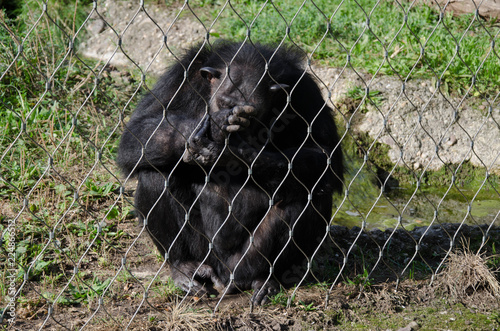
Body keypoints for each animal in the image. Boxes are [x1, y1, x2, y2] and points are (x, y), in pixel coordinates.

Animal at [117, 40, 344, 306]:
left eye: (248, 114)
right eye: (225, 104)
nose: (233, 125)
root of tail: (225, 277)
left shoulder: (304, 92)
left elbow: (325, 154)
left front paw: (232, 151)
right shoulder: (180, 77)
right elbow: (139, 131)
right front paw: (213, 127)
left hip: (244, 262)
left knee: (309, 191)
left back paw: (265, 280)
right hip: (205, 253)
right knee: (155, 175)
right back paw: (184, 268)